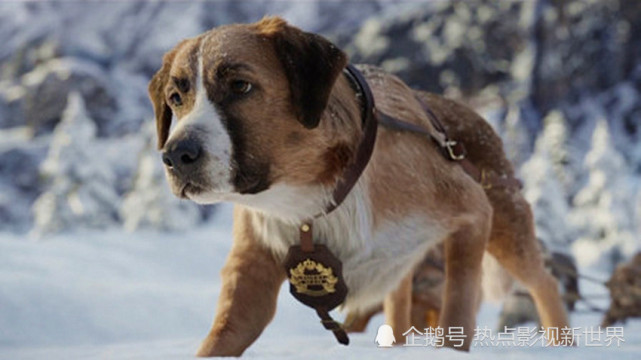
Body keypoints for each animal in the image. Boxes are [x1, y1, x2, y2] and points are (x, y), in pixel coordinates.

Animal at [148, 17, 568, 358]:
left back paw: (562, 341)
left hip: (506, 227)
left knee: (543, 281)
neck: (312, 196)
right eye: (176, 98)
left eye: (240, 86)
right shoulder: (252, 269)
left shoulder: (471, 212)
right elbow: (223, 334)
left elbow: (457, 312)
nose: (176, 155)